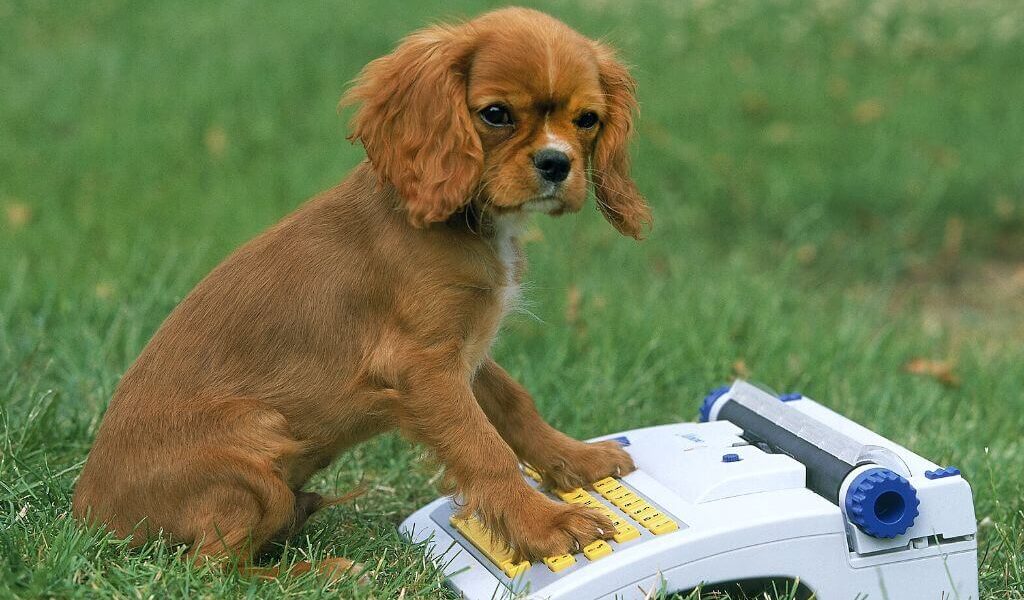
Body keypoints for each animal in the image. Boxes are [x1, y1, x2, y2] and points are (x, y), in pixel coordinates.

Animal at [72, 7, 651, 569]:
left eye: (587, 120)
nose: (557, 162)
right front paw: (546, 525)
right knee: (209, 568)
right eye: (496, 114)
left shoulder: (465, 351)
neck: (469, 221)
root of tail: (88, 520)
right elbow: (484, 448)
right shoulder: (423, 366)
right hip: (255, 464)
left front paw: (577, 459)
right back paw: (323, 571)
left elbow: (514, 403)